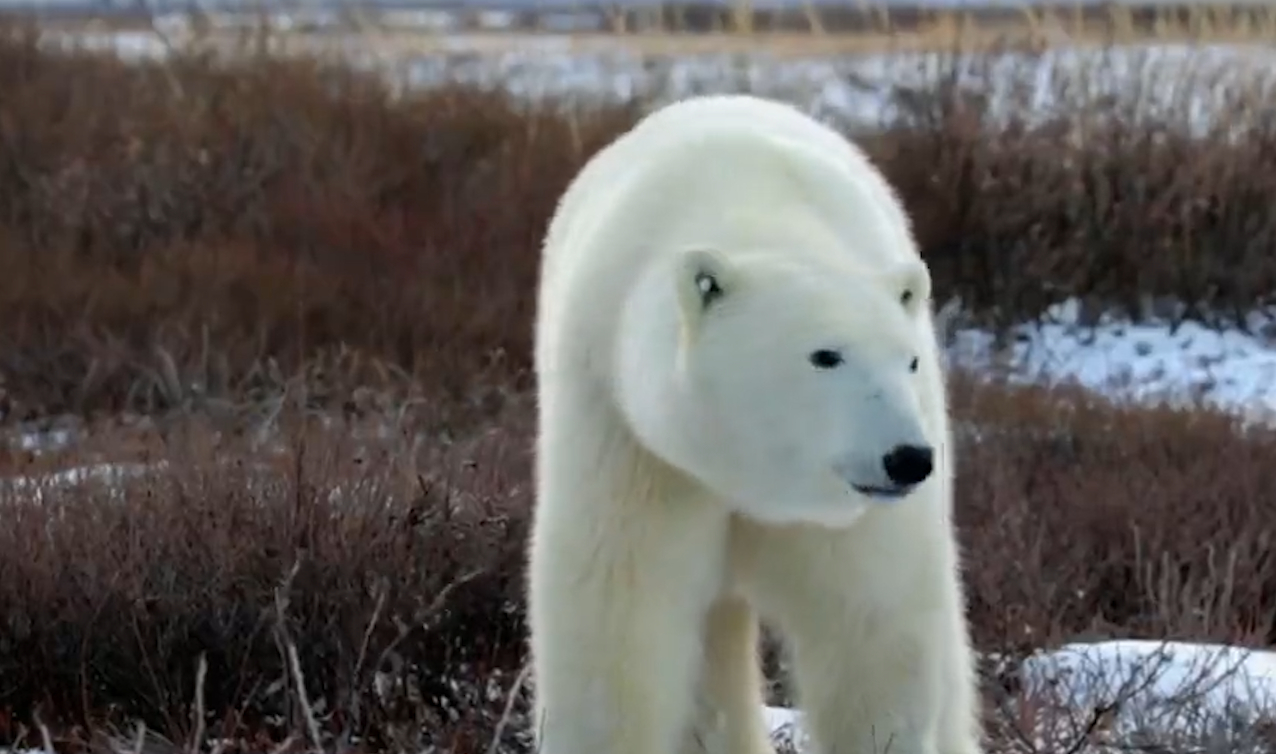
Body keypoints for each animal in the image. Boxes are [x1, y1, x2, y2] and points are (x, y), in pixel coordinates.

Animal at [523, 93, 979, 754]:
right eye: (825, 355)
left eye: (910, 359)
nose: (908, 458)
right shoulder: (634, 440)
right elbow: (619, 614)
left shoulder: (853, 519)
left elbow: (870, 629)